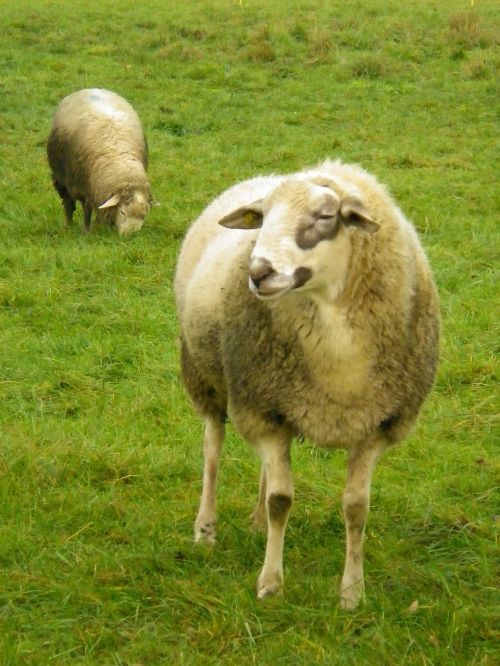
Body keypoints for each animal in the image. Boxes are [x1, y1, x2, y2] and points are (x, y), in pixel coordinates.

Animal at [47, 87, 152, 235]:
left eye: (143, 216)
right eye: (122, 212)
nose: (130, 235)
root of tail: (92, 88)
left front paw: (99, 226)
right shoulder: (84, 189)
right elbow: (86, 211)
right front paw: (86, 231)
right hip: (61, 178)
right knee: (68, 203)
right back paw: (69, 225)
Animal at [174, 157, 440, 608]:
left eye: (325, 217)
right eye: (262, 218)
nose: (258, 273)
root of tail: (265, 174)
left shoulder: (374, 424)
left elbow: (356, 507)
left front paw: (352, 593)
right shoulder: (263, 410)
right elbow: (282, 500)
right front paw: (270, 584)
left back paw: (256, 523)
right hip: (207, 377)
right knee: (212, 450)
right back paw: (205, 528)